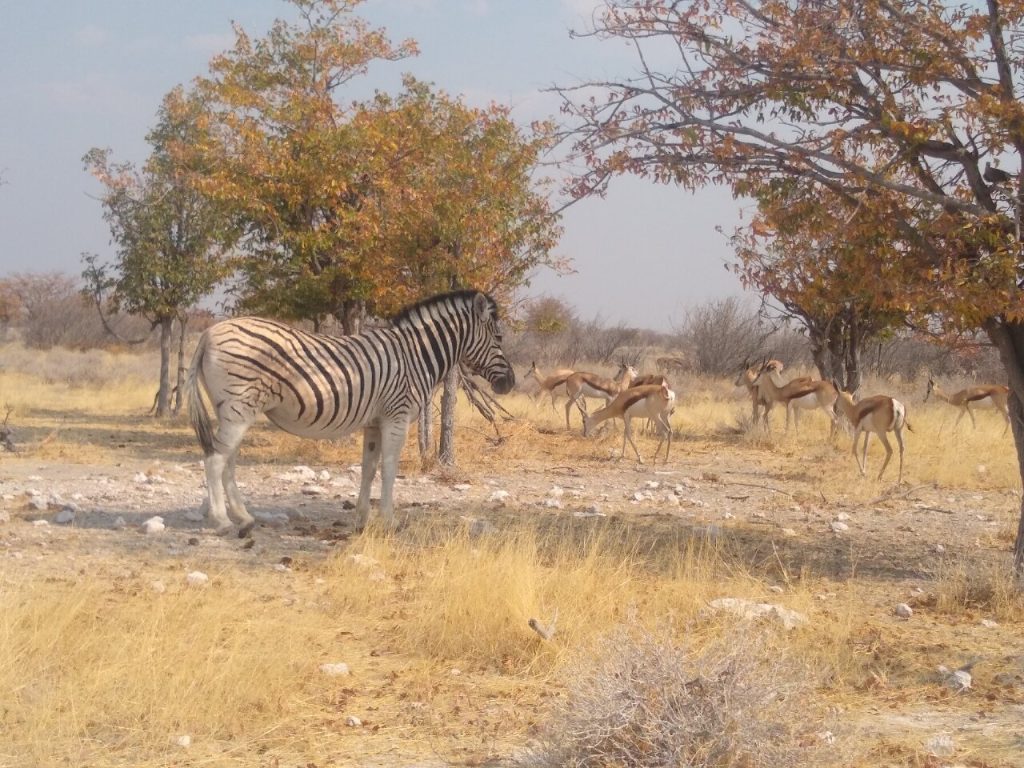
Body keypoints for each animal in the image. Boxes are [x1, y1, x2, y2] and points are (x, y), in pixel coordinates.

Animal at [187, 290, 515, 535]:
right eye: (499, 338)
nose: (510, 383)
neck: (415, 357)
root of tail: (208, 333)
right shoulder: (396, 417)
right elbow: (390, 469)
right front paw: (389, 520)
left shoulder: (374, 422)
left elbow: (368, 469)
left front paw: (362, 518)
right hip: (239, 408)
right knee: (214, 460)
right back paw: (222, 521)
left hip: (234, 410)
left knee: (226, 461)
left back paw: (243, 517)